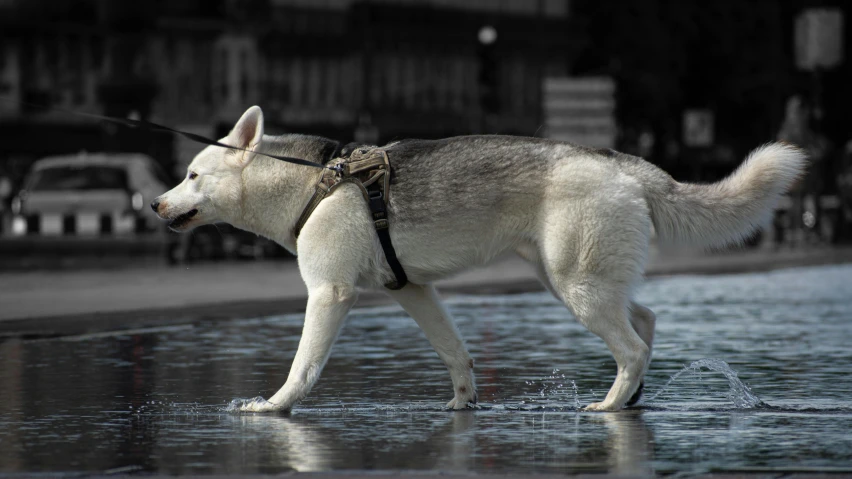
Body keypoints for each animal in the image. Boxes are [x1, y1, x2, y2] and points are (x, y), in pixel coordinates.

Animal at [155, 108, 804, 412]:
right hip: (573, 280)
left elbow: (303, 368)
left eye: (192, 175)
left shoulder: (330, 295)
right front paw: (464, 403)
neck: (314, 183)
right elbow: (455, 352)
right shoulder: (412, 291)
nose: (157, 204)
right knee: (645, 321)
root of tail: (622, 161)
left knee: (633, 346)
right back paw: (633, 396)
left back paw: (611, 405)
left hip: (577, 288)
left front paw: (274, 408)